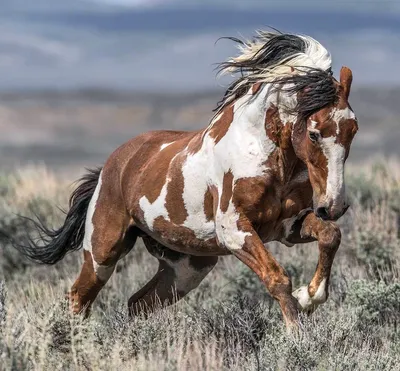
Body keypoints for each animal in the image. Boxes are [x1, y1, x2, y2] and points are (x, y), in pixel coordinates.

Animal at [10, 31, 360, 328]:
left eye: (353, 130)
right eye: (314, 133)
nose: (334, 205)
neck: (267, 155)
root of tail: (112, 166)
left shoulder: (287, 226)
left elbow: (330, 236)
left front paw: (309, 296)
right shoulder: (235, 231)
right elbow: (277, 278)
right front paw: (297, 334)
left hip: (186, 267)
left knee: (139, 303)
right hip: (103, 252)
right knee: (79, 297)